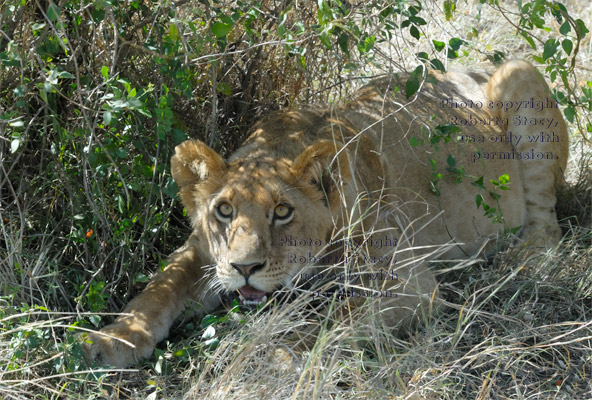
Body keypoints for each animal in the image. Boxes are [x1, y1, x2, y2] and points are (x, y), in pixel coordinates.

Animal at [81, 57, 568, 368]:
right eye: (223, 210)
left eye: (282, 211)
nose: (244, 268)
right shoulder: (202, 252)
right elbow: (156, 293)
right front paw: (105, 343)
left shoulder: (411, 281)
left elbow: (330, 318)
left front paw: (269, 356)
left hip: (518, 74)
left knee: (547, 229)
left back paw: (518, 261)